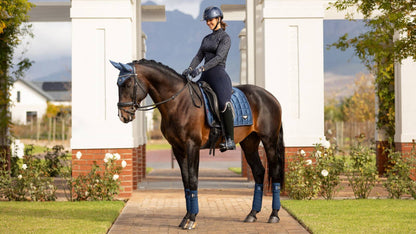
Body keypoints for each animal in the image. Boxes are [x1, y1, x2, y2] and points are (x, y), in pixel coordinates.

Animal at [110, 59, 286, 229]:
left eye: (127, 84)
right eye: (117, 85)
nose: (123, 115)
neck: (179, 102)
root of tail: (270, 97)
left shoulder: (192, 146)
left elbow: (193, 180)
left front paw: (192, 219)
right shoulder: (178, 149)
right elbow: (186, 182)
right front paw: (186, 218)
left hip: (269, 141)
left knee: (275, 171)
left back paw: (274, 215)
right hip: (249, 143)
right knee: (259, 172)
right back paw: (252, 214)